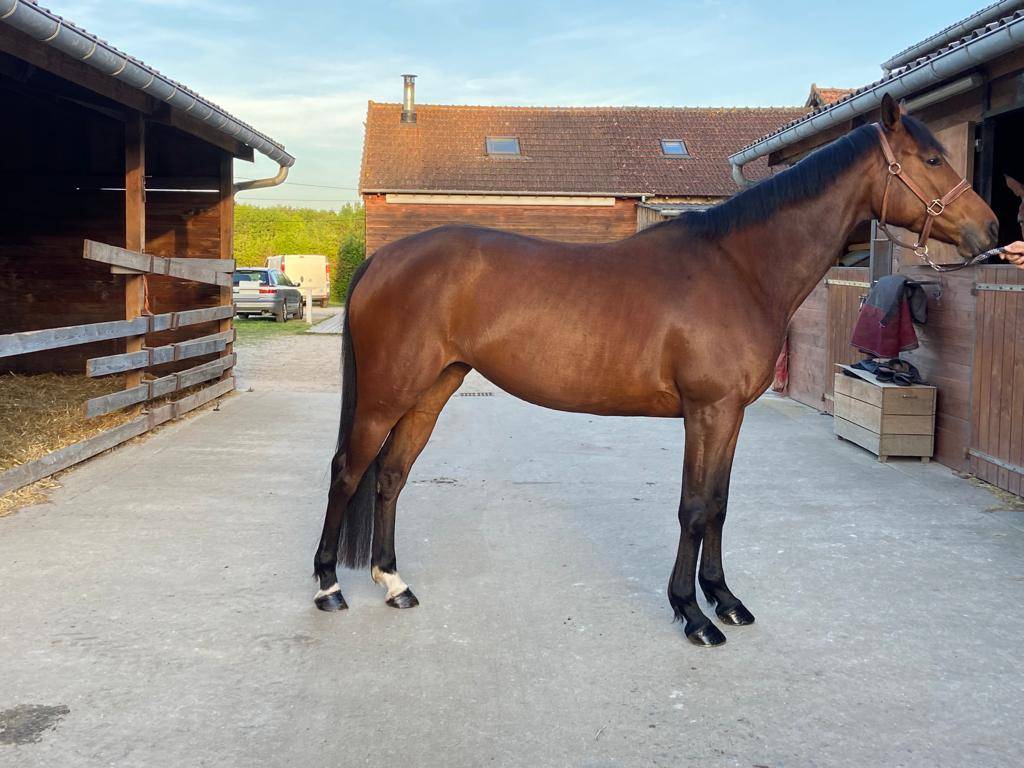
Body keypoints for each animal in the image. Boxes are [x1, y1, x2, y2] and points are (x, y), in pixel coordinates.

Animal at [313, 94, 998, 646]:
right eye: (931, 159)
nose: (990, 229)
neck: (740, 268)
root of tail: (384, 259)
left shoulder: (730, 417)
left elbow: (718, 504)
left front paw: (725, 601)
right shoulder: (707, 411)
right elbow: (693, 508)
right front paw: (692, 615)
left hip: (433, 388)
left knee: (391, 476)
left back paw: (393, 582)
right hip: (386, 394)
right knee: (349, 471)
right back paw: (328, 586)